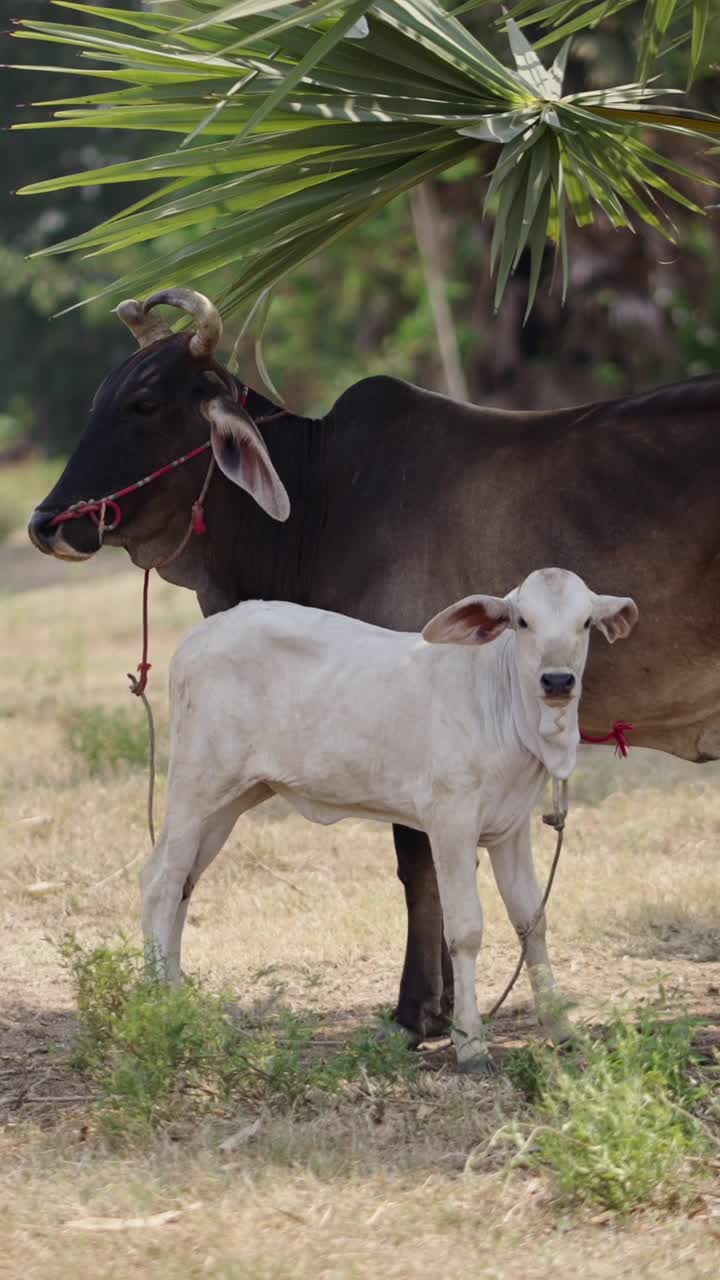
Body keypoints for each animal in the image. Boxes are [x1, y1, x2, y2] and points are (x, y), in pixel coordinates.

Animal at [143, 568, 638, 1073]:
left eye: (584, 623)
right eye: (522, 621)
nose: (557, 680)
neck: (506, 709)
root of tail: (198, 638)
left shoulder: (511, 828)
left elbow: (531, 920)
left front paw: (563, 1031)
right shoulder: (451, 820)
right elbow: (465, 929)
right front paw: (471, 1044)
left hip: (231, 800)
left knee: (180, 882)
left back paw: (178, 1001)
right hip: (195, 786)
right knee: (162, 882)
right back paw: (161, 1009)